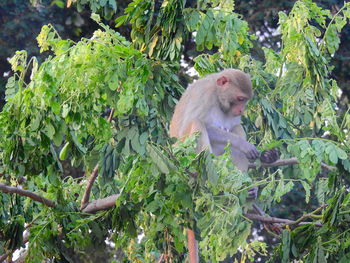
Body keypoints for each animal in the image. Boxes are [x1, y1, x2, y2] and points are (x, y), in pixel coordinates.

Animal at [169, 68, 278, 263]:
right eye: (240, 98)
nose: (241, 109)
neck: (218, 97)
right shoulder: (204, 95)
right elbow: (199, 123)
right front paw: (245, 145)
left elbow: (235, 127)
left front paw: (267, 156)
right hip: (184, 156)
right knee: (197, 123)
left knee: (236, 129)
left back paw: (245, 191)